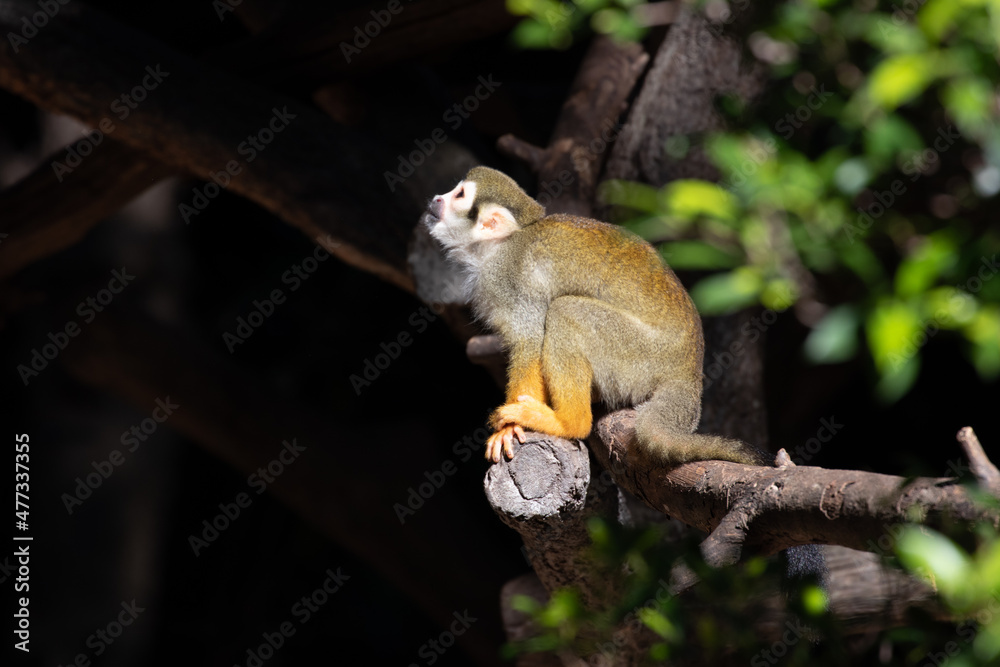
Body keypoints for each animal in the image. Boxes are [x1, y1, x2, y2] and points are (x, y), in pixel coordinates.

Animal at [424, 165, 768, 467]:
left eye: (459, 195)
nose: (436, 198)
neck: (496, 246)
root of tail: (688, 373)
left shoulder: (507, 278)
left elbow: (530, 341)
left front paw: (508, 429)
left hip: (640, 355)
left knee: (566, 312)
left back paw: (569, 423)